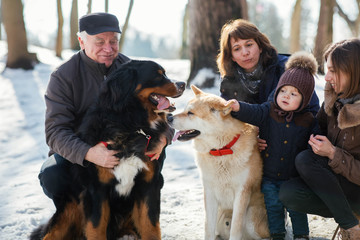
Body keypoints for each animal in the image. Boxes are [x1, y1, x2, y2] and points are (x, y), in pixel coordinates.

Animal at [169, 85, 268, 239]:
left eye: (190, 113)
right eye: (185, 110)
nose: (168, 117)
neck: (221, 151)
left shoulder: (241, 193)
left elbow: (235, 230)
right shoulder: (209, 193)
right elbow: (208, 230)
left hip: (252, 221)